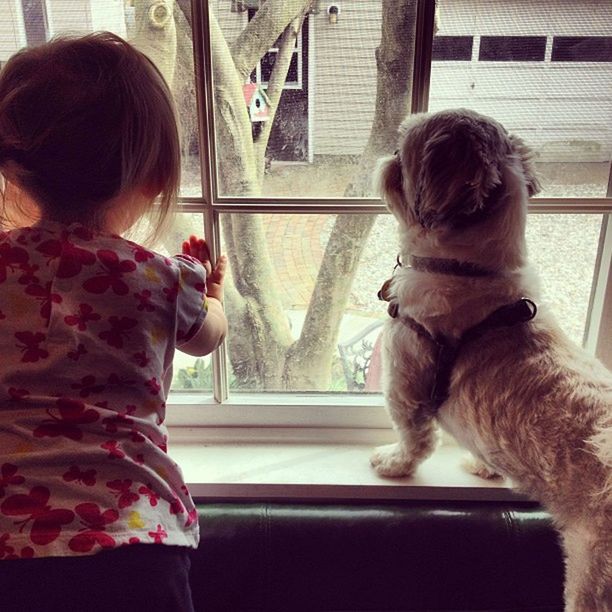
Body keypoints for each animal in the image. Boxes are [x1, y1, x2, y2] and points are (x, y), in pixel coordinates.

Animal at [370, 107, 608, 608]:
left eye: (402, 149)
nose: (387, 156)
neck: (469, 271)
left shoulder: (406, 384)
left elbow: (415, 438)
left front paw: (394, 463)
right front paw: (486, 464)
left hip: (593, 576)